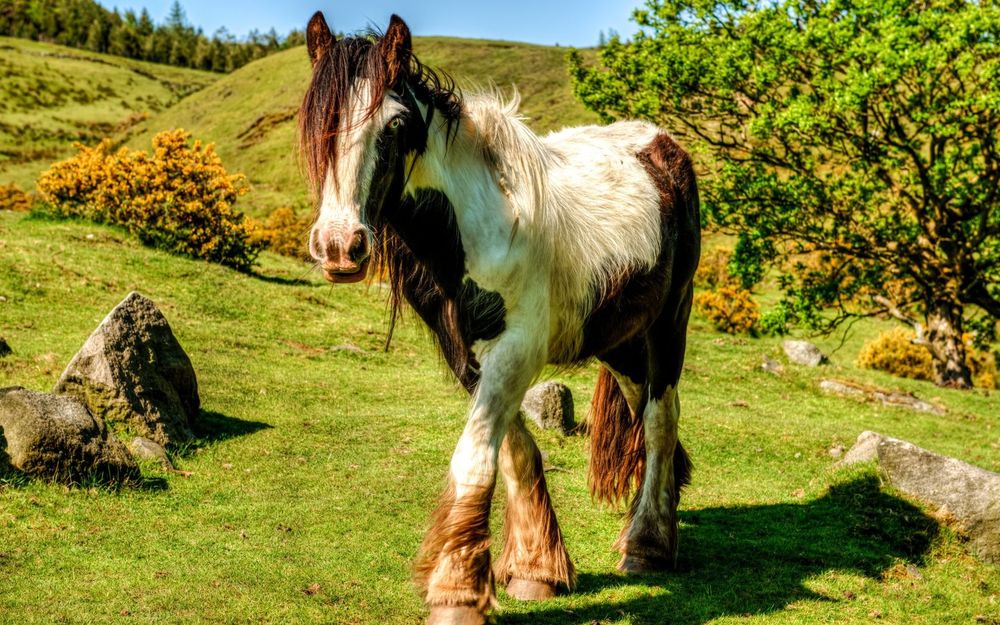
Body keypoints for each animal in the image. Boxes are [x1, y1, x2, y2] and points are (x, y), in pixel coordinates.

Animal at [300, 13, 700, 624]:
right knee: (643, 414)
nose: (340, 247)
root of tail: (662, 143)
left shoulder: (515, 350)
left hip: (667, 326)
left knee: (659, 421)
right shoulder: (470, 356)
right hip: (621, 340)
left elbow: (475, 457)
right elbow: (513, 452)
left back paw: (647, 546)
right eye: (317, 120)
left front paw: (457, 593)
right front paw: (537, 569)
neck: (477, 224)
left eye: (395, 125)